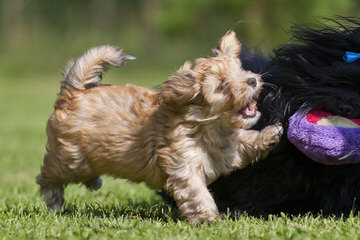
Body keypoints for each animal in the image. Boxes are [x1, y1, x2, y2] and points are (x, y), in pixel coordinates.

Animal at [37, 31, 284, 224]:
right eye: (222, 86)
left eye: (241, 71)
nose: (252, 80)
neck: (209, 126)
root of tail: (74, 93)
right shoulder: (184, 166)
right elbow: (198, 193)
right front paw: (209, 218)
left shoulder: (227, 149)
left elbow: (244, 142)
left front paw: (271, 134)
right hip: (70, 157)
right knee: (49, 174)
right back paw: (53, 198)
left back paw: (91, 181)